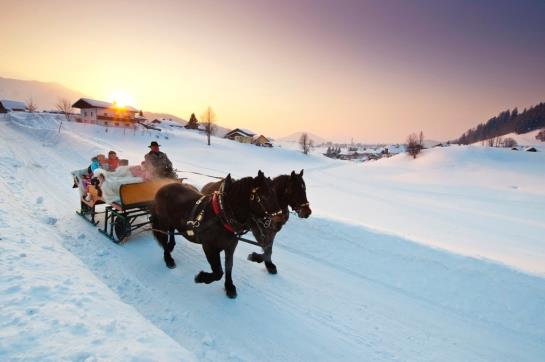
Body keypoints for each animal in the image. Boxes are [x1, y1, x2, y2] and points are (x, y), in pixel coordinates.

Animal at [151, 171, 282, 298]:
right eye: (265, 196)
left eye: (275, 194)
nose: (279, 221)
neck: (222, 215)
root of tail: (162, 188)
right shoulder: (209, 247)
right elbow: (218, 272)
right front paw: (201, 278)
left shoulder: (230, 247)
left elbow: (229, 266)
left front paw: (229, 287)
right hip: (162, 222)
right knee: (163, 238)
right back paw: (168, 258)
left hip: (172, 222)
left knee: (171, 231)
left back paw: (171, 246)